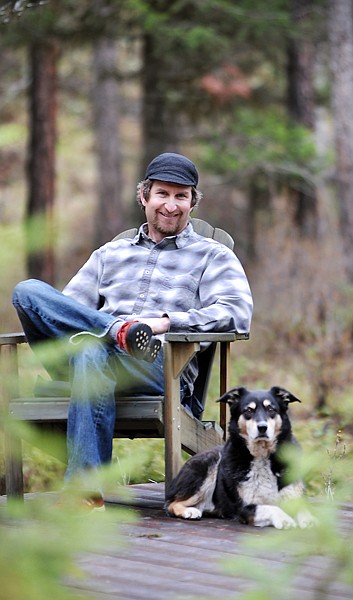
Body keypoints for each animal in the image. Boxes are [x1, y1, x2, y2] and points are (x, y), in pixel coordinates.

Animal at [164, 386, 314, 528]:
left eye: (271, 409)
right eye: (248, 410)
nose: (262, 427)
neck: (262, 456)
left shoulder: (295, 497)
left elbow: (304, 510)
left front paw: (309, 520)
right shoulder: (245, 508)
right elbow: (270, 508)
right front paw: (285, 519)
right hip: (207, 468)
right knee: (171, 504)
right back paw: (189, 511)